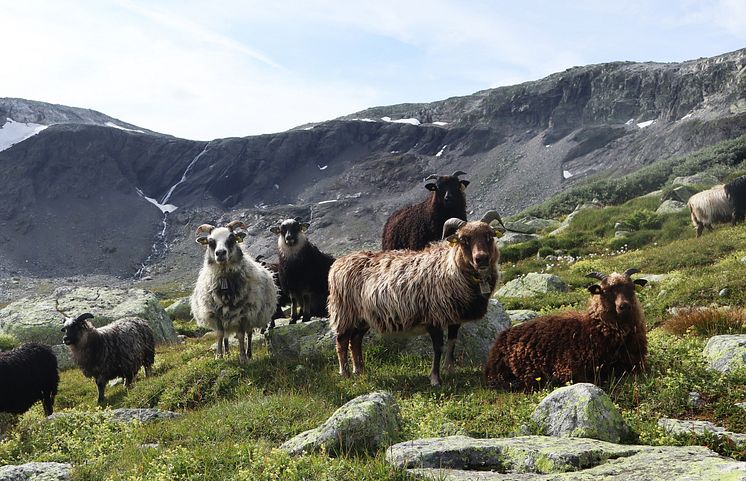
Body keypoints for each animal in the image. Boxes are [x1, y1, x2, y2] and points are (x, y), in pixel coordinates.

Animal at [190, 218, 278, 360]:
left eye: (231, 238)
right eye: (210, 241)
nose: (220, 253)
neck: (225, 280)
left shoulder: (244, 313)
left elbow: (241, 335)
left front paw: (242, 357)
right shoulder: (216, 313)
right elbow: (220, 334)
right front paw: (219, 356)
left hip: (252, 315)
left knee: (249, 333)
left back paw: (249, 354)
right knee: (226, 336)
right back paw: (227, 352)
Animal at [328, 210, 502, 386]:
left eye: (490, 235)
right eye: (464, 239)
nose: (481, 259)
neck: (450, 267)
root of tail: (338, 263)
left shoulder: (455, 318)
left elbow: (452, 343)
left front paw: (450, 370)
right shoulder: (434, 317)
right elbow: (438, 348)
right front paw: (435, 379)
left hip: (364, 317)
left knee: (355, 340)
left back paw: (360, 371)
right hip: (344, 312)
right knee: (342, 341)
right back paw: (345, 373)